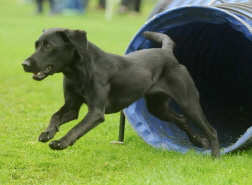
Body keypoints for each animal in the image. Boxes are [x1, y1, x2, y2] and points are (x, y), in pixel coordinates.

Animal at [22, 28, 220, 158]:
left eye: (48, 46)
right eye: (36, 45)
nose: (24, 64)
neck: (79, 71)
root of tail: (167, 52)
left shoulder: (96, 112)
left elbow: (77, 128)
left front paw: (61, 142)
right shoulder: (71, 107)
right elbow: (55, 116)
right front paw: (48, 133)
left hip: (189, 103)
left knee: (211, 130)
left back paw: (215, 156)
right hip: (158, 108)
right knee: (181, 119)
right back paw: (198, 142)